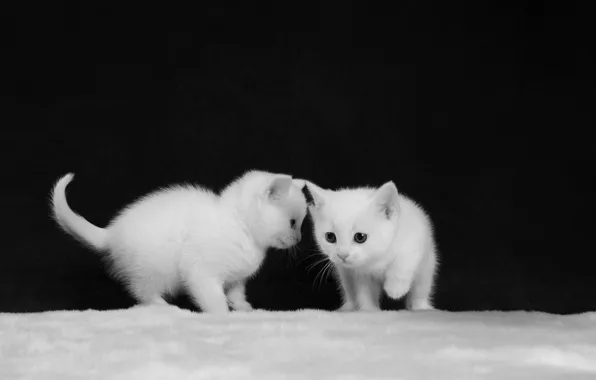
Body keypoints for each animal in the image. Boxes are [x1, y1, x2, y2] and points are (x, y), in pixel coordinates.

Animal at [51, 171, 308, 314]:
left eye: (301, 223)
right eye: (293, 222)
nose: (299, 238)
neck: (241, 227)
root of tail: (111, 233)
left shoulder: (236, 277)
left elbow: (236, 292)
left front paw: (244, 307)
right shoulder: (200, 271)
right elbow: (214, 299)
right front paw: (223, 314)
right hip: (154, 270)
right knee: (143, 293)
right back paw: (166, 307)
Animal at [302, 181, 438, 312]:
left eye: (360, 237)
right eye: (330, 237)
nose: (342, 255)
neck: (376, 258)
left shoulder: (414, 239)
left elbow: (403, 263)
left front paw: (395, 289)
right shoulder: (358, 273)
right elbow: (365, 291)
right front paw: (369, 309)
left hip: (427, 267)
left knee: (420, 288)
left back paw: (420, 306)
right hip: (345, 274)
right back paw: (349, 307)